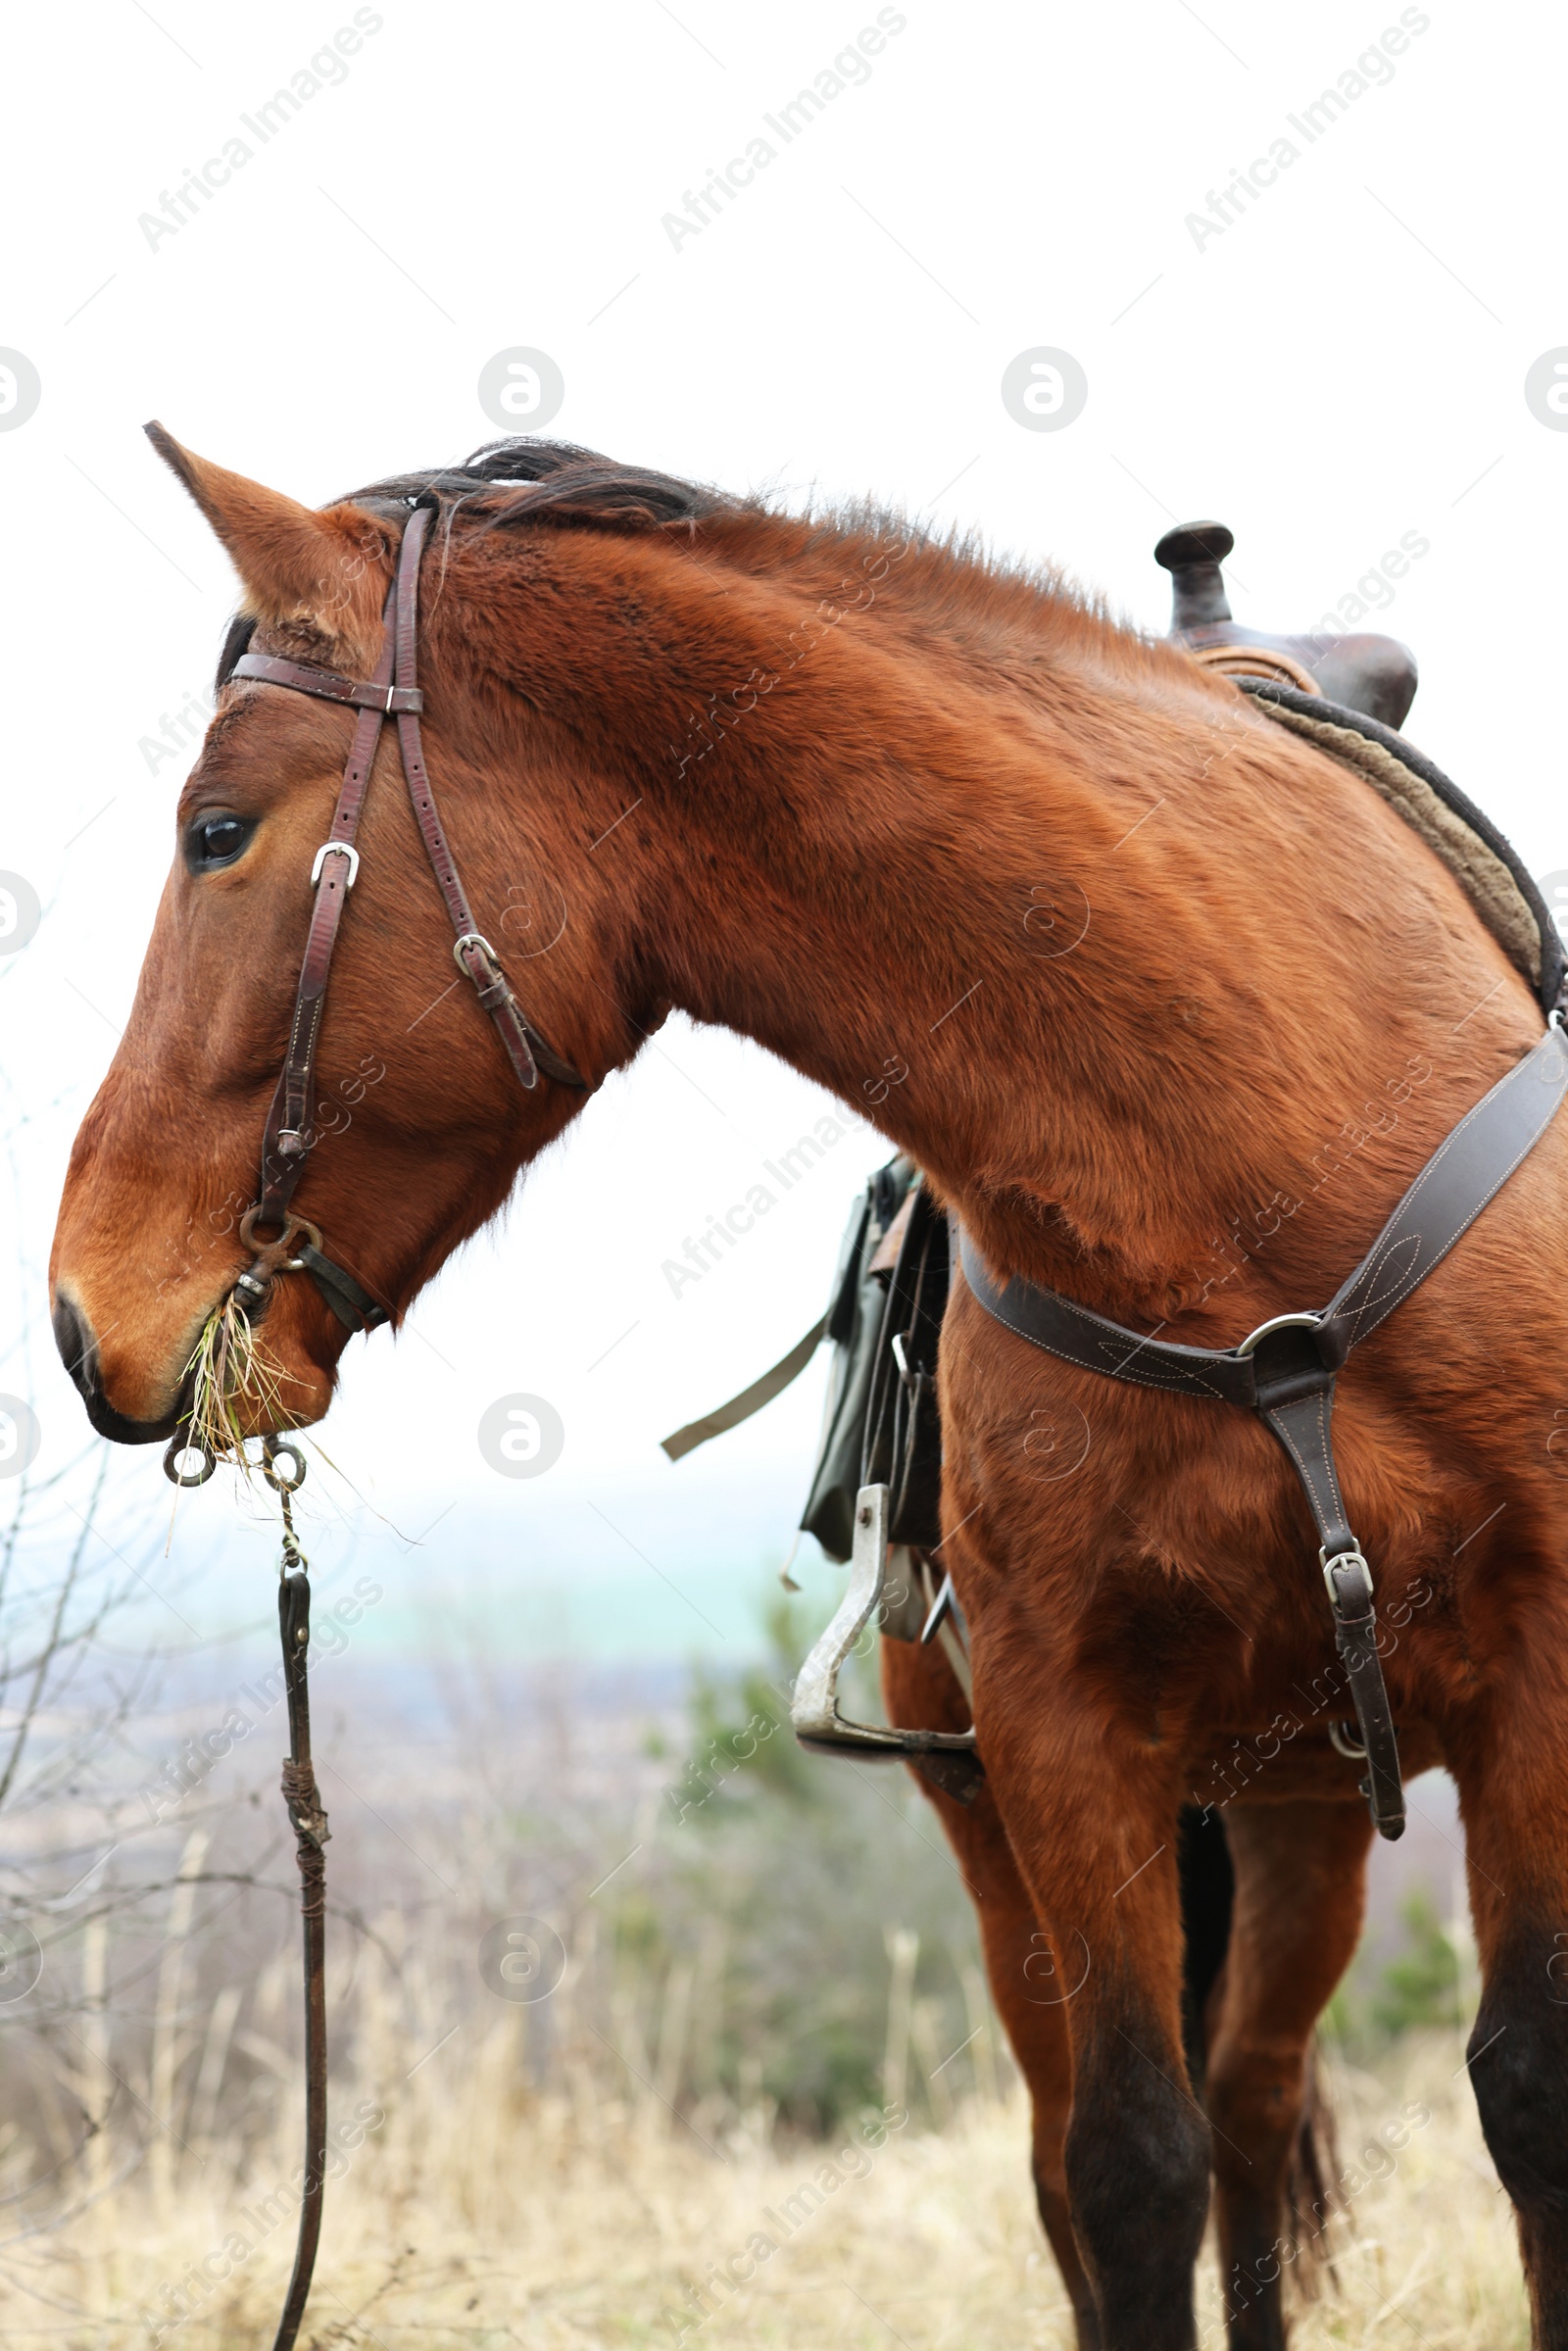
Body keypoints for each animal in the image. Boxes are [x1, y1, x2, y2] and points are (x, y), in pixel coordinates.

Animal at [49, 432, 1568, 2341]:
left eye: (217, 832)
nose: (80, 1314)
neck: (1256, 1167)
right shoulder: (1065, 1736)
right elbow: (1126, 2166)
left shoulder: (1538, 1685)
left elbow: (1525, 2093)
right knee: (1153, 2133)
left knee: (1255, 2100)